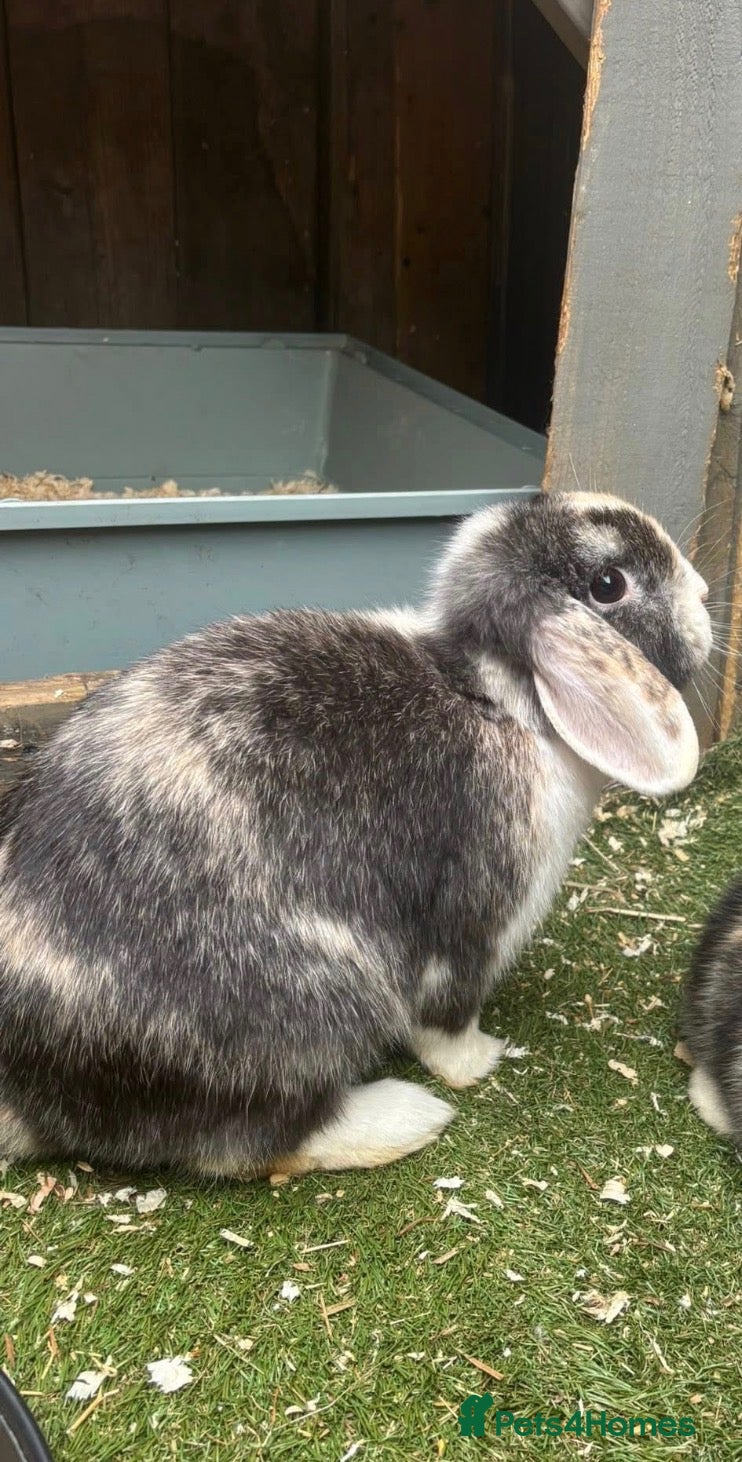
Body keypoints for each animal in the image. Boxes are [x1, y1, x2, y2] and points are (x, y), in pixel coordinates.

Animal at [0, 490, 711, 1178]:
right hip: (306, 1014)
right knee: (246, 1143)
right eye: (609, 583)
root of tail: (30, 1092)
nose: (705, 594)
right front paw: (481, 1060)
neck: (495, 698)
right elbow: (447, 1019)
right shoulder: (475, 922)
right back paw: (408, 1116)